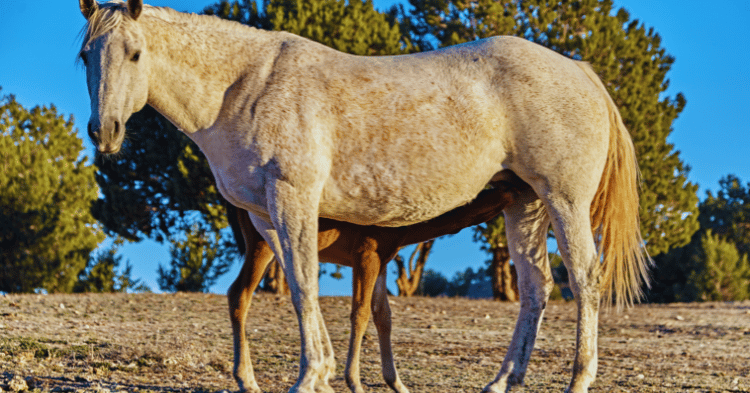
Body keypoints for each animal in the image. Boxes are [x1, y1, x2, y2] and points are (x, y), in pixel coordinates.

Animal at [78, 1, 652, 390]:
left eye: (135, 53)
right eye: (86, 55)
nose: (104, 132)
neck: (245, 88)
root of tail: (580, 71)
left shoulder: (293, 200)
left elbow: (305, 285)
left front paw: (309, 376)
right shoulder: (267, 217)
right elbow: (301, 286)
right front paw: (326, 372)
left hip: (564, 201)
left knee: (585, 280)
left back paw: (578, 379)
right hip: (523, 204)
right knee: (536, 289)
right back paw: (501, 382)